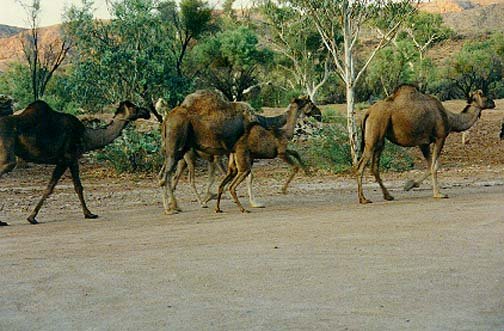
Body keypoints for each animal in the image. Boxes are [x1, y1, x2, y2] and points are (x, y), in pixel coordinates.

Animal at [0, 100, 150, 227]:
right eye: (134, 107)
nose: (147, 112)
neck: (87, 136)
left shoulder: (65, 160)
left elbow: (55, 187)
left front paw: (31, 217)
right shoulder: (69, 158)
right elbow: (73, 187)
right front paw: (89, 213)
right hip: (8, 152)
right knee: (9, 164)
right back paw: (2, 222)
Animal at [159, 90, 318, 215]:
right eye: (309, 102)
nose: (319, 113)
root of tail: (166, 119)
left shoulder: (231, 152)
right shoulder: (241, 151)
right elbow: (249, 176)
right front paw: (255, 203)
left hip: (176, 150)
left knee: (164, 174)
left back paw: (176, 205)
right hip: (176, 145)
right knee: (167, 174)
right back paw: (169, 208)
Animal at [356, 85, 494, 205]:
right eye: (485, 96)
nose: (493, 103)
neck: (450, 119)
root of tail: (368, 112)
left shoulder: (424, 143)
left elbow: (430, 165)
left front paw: (409, 185)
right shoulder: (440, 137)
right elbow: (435, 166)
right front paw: (439, 194)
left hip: (380, 139)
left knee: (374, 167)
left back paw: (388, 196)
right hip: (375, 131)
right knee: (360, 166)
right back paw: (363, 199)